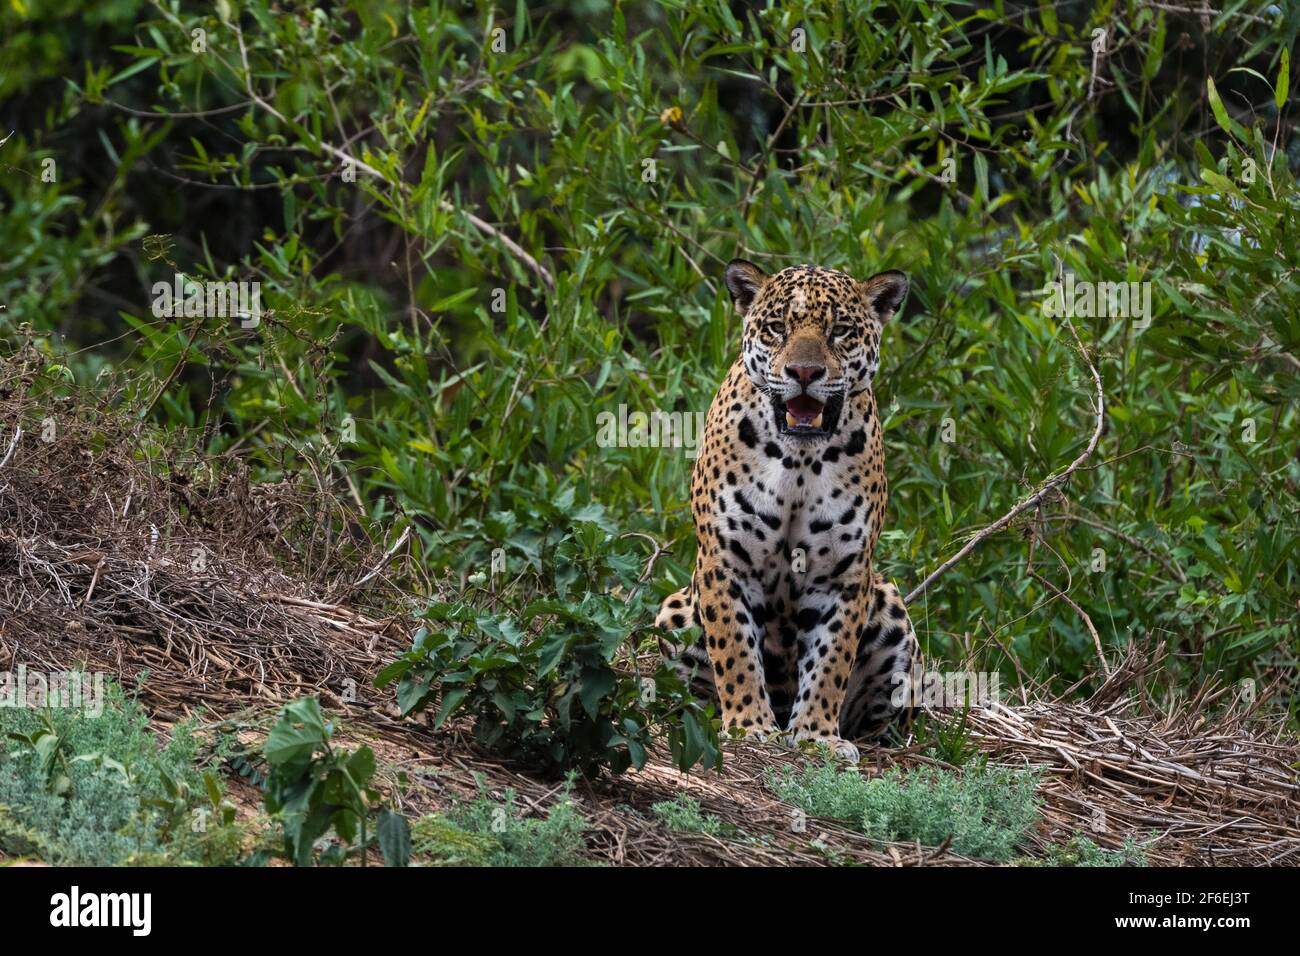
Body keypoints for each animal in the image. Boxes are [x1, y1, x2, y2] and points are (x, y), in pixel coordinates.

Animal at [655, 259, 920, 762]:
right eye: (778, 328)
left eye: (840, 331)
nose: (804, 371)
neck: (799, 459)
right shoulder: (724, 561)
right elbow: (735, 649)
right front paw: (749, 727)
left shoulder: (844, 574)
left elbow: (831, 660)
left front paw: (817, 735)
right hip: (674, 612)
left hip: (890, 607)